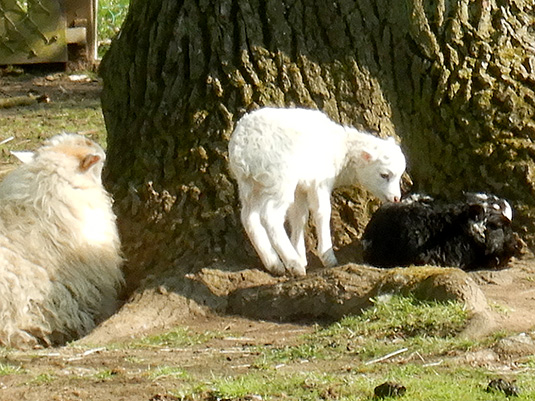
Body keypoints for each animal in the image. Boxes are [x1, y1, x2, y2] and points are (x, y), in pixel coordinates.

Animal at [228, 106, 408, 276]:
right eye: (384, 175)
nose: (396, 198)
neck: (341, 152)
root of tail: (243, 147)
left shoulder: (301, 187)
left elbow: (299, 216)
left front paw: (301, 254)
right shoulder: (320, 181)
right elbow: (322, 212)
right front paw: (326, 257)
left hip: (250, 183)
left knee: (249, 217)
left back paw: (274, 263)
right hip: (279, 178)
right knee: (270, 216)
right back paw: (293, 263)